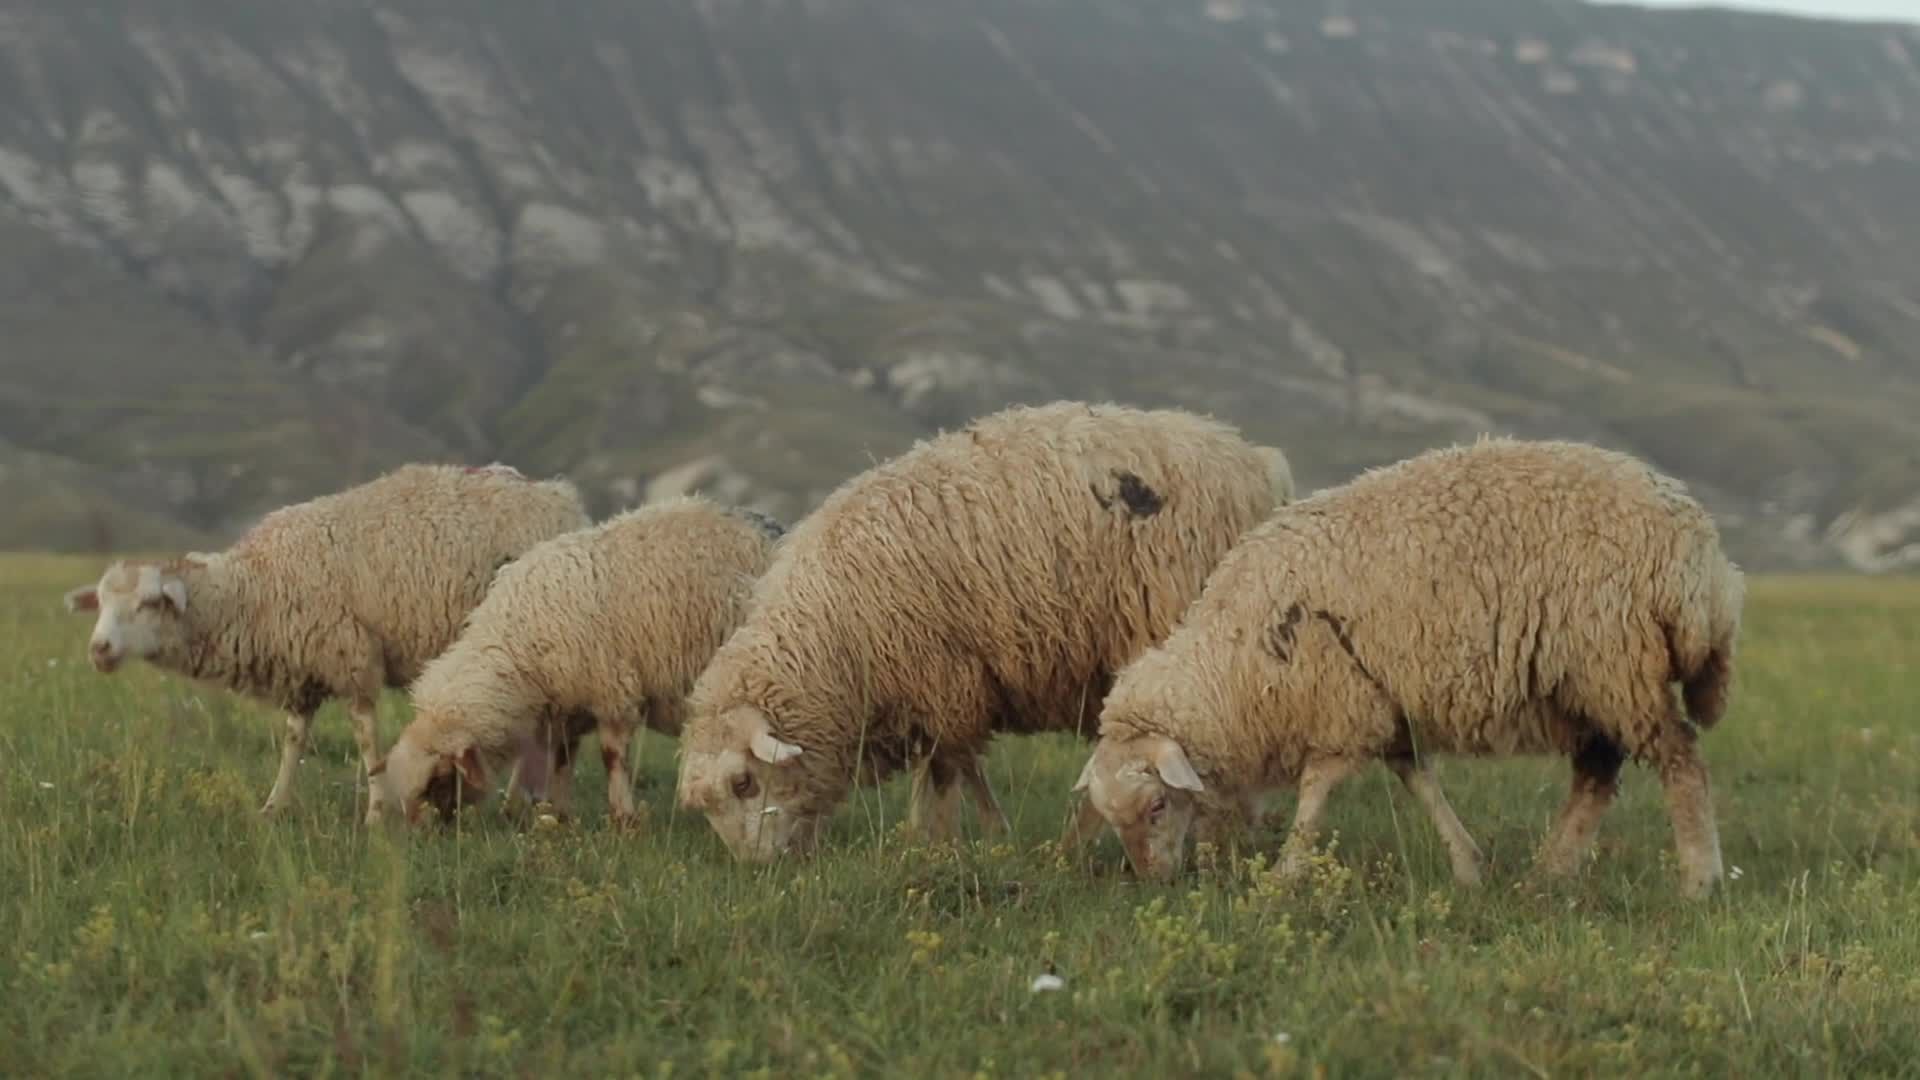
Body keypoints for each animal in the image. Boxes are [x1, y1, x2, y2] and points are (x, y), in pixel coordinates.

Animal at [62, 463, 589, 824]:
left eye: (149, 603)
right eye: (101, 602)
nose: (99, 650)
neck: (257, 588)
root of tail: (559, 496)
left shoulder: (351, 658)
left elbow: (367, 740)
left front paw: (375, 813)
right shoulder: (304, 670)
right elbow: (293, 741)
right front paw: (273, 807)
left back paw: (523, 801)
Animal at [375, 496, 784, 828]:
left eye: (439, 779)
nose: (428, 835)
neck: (517, 649)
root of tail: (770, 524)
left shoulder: (612, 691)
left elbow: (611, 757)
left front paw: (623, 819)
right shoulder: (566, 705)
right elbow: (562, 759)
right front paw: (560, 815)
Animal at [674, 400, 1296, 862]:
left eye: (743, 782)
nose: (758, 868)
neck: (833, 637)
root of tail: (1256, 461)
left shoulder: (939, 674)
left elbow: (945, 770)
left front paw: (937, 842)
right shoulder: (947, 686)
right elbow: (961, 765)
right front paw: (983, 833)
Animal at [1071, 436, 1744, 899]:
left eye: (1156, 807)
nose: (1155, 882)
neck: (1236, 661)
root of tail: (1706, 564)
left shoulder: (1341, 708)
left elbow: (1315, 797)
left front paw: (1285, 877)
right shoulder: (1385, 705)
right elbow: (1420, 780)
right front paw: (1468, 866)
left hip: (1615, 662)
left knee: (1680, 760)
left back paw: (1698, 880)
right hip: (1589, 678)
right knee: (1598, 776)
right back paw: (1548, 875)